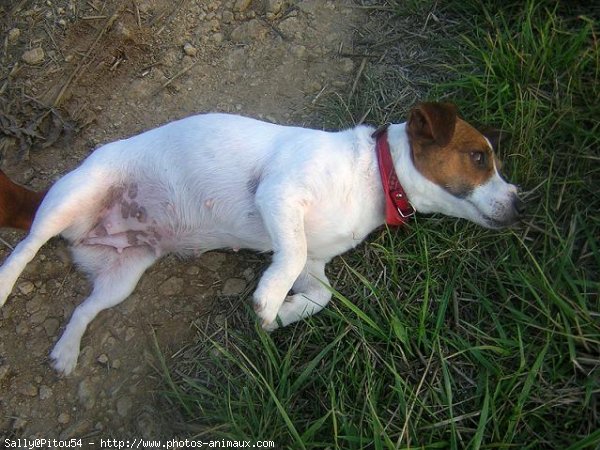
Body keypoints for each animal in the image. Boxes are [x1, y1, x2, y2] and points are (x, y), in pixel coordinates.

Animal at [0, 103, 524, 374]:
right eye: (480, 157)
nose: (522, 204)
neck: (374, 176)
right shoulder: (279, 195)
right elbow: (288, 255)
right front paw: (270, 298)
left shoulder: (316, 265)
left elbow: (322, 295)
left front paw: (284, 314)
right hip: (70, 198)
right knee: (26, 247)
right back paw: (5, 284)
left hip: (124, 275)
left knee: (84, 308)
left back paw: (67, 351)